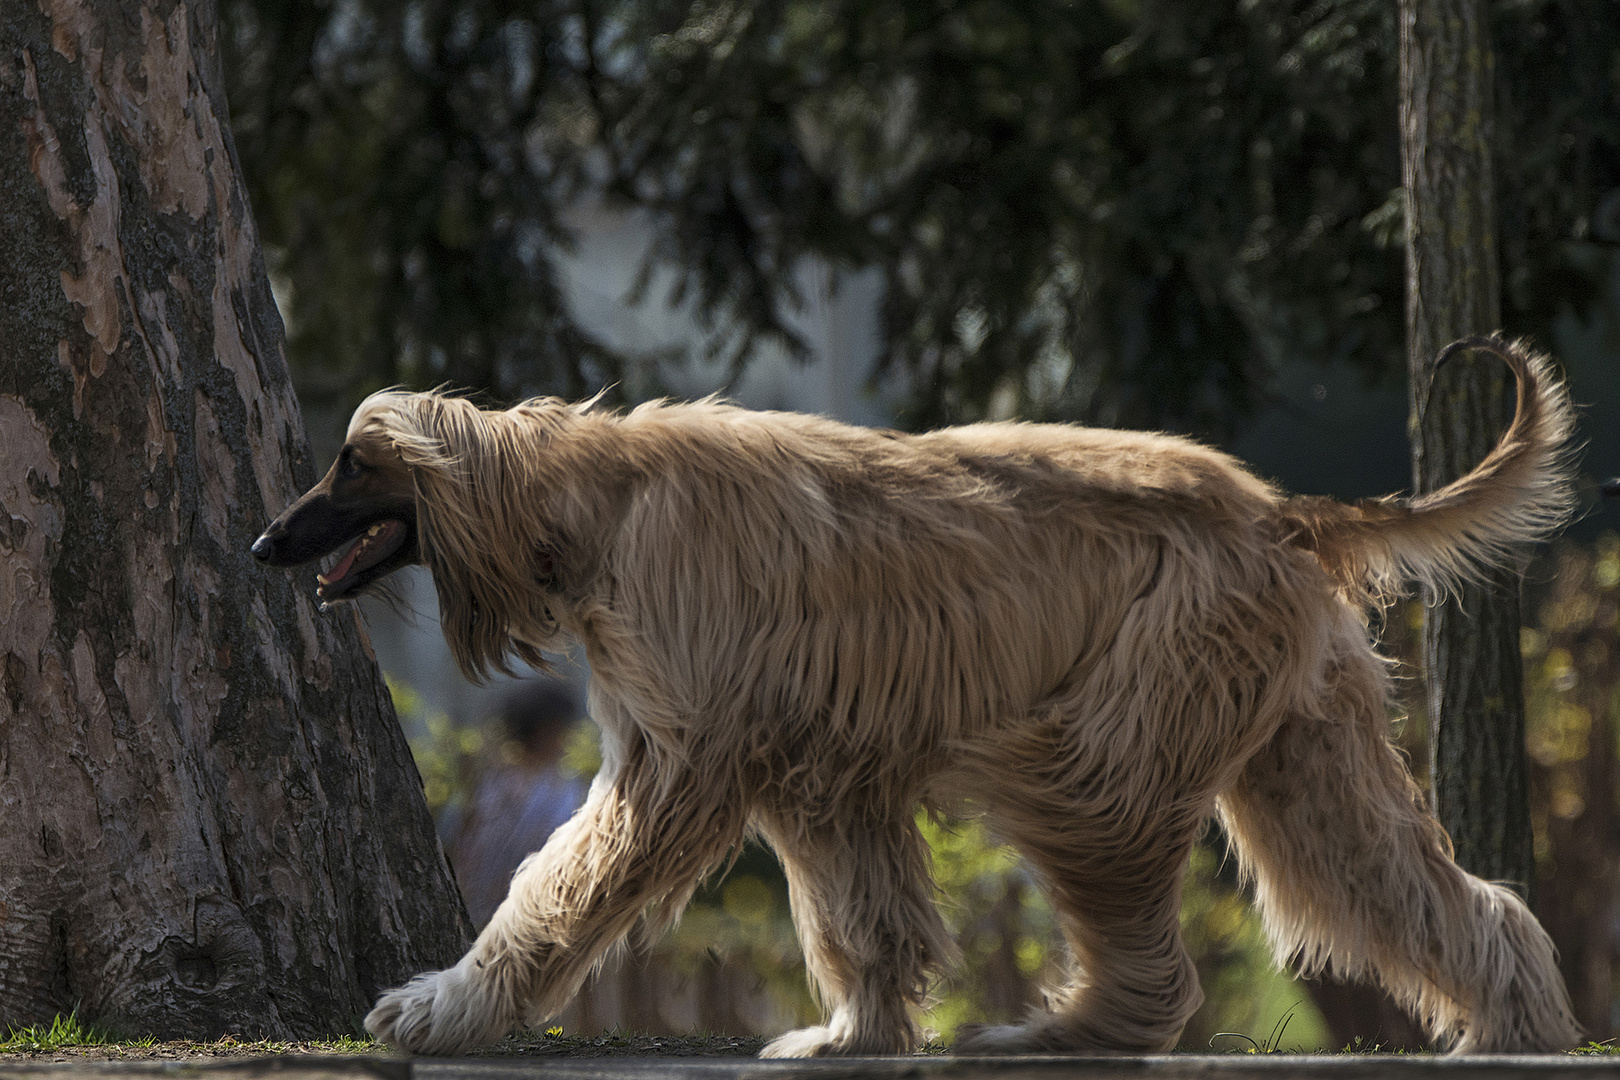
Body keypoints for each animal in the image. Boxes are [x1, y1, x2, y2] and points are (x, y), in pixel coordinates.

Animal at [255, 335, 1581, 1055]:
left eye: (350, 464)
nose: (265, 542)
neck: (596, 503)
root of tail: (1280, 513)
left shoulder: (688, 748)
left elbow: (562, 879)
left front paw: (442, 1008)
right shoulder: (821, 759)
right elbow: (863, 913)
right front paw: (857, 1036)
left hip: (1114, 727)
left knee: (1140, 918)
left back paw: (1059, 1032)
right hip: (1299, 735)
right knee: (1421, 886)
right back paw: (1516, 1022)